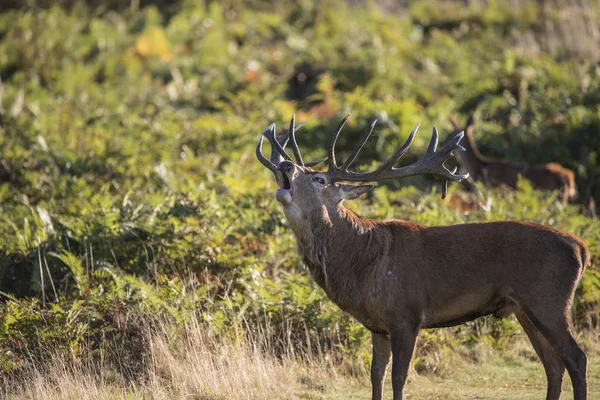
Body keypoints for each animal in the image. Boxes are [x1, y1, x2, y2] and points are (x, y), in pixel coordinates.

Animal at [254, 115, 592, 400]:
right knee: (553, 365)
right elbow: (375, 376)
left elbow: (398, 378)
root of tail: (581, 248)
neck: (360, 263)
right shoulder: (378, 325)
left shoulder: (407, 315)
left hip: (548, 299)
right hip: (525, 308)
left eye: (319, 180)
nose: (285, 165)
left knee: (577, 358)